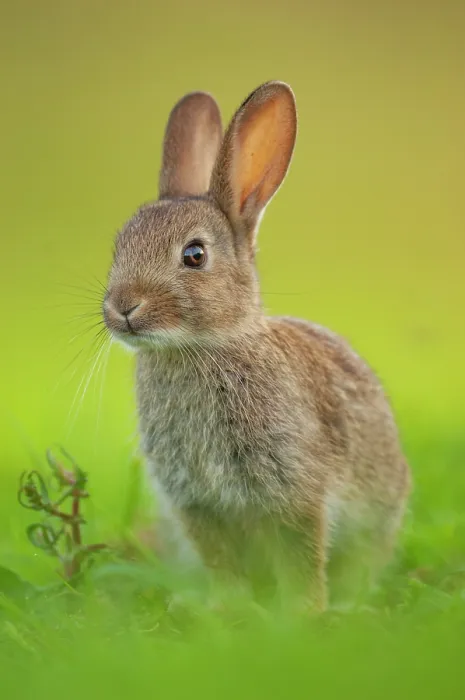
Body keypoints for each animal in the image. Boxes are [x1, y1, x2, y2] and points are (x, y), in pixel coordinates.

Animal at [102, 82, 411, 611]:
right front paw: (225, 607)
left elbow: (303, 556)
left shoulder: (295, 491)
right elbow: (221, 562)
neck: (204, 347)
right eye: (119, 247)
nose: (122, 306)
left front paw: (305, 612)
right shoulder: (197, 505)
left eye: (194, 255)